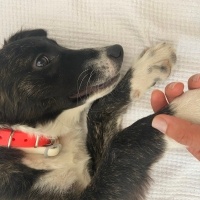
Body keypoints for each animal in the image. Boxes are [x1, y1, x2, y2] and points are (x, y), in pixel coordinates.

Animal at [0, 28, 195, 200]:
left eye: (57, 44)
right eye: (42, 61)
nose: (117, 50)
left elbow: (97, 111)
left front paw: (145, 68)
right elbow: (122, 144)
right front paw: (183, 109)